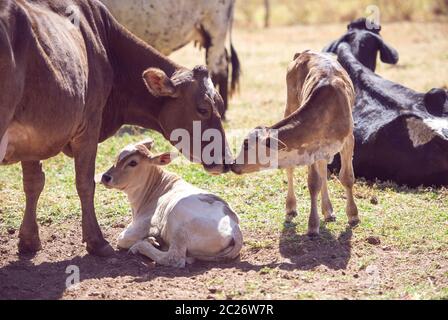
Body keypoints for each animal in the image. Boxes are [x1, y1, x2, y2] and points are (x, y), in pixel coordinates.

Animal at [100, 140, 243, 268]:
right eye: (117, 157)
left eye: (133, 162)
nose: (105, 177)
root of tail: (235, 226)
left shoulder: (144, 224)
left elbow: (121, 239)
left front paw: (149, 239)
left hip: (178, 222)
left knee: (174, 259)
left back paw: (141, 246)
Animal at [233, 51, 358, 236]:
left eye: (247, 144)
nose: (233, 164)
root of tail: (305, 52)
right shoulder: (310, 147)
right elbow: (313, 183)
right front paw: (313, 225)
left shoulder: (348, 139)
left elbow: (347, 177)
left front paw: (353, 216)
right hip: (290, 104)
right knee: (293, 169)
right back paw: (292, 207)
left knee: (323, 169)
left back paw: (328, 211)